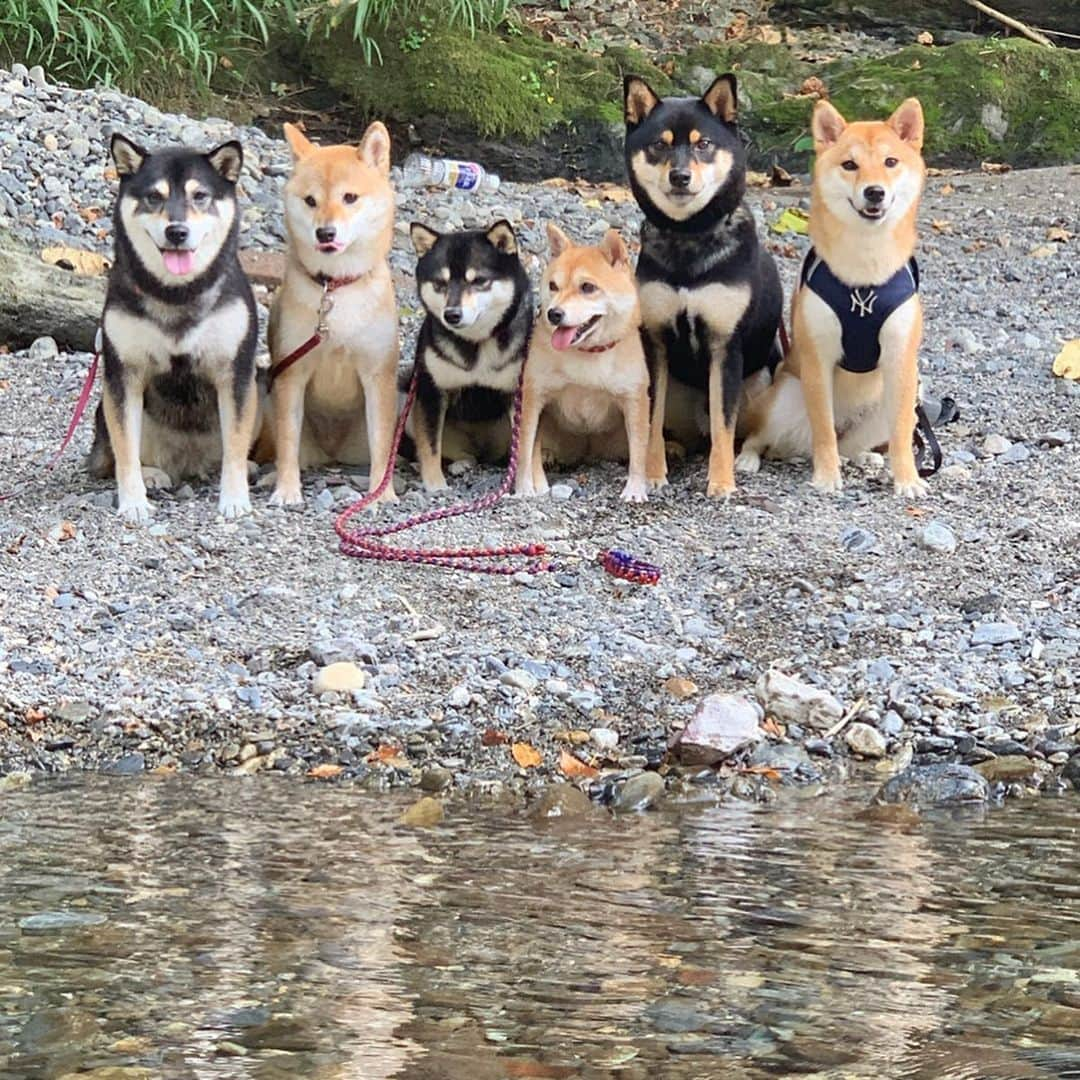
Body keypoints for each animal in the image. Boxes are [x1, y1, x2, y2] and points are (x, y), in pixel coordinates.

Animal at [263, 123, 399, 505]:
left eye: (350, 197)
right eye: (310, 201)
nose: (325, 232)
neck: (336, 287)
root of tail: (332, 454)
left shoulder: (378, 377)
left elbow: (382, 443)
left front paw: (381, 493)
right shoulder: (291, 375)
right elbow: (287, 442)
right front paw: (286, 490)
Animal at [406, 219, 531, 490]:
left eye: (479, 281)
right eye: (440, 284)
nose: (452, 314)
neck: (477, 344)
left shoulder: (519, 391)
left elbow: (525, 445)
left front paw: (526, 485)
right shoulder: (431, 391)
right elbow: (430, 444)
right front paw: (434, 484)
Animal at [514, 226, 648, 501]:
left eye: (587, 287)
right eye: (553, 286)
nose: (554, 314)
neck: (586, 353)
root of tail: (588, 451)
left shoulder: (634, 400)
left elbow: (639, 450)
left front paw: (635, 489)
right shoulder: (533, 398)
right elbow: (524, 450)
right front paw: (524, 489)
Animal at [626, 73, 786, 494]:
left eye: (704, 144)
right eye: (659, 145)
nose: (680, 176)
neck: (689, 237)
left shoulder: (724, 346)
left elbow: (723, 425)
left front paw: (721, 483)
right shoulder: (657, 344)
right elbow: (651, 418)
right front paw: (653, 473)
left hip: (765, 379)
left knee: (746, 432)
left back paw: (745, 459)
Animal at [738, 99, 933, 494]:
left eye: (891, 162)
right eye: (850, 165)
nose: (874, 192)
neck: (863, 278)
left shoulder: (901, 361)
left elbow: (902, 436)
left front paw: (907, 479)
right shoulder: (818, 358)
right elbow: (824, 431)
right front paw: (827, 478)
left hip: (890, 403)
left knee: (853, 443)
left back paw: (866, 458)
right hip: (784, 397)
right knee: (764, 436)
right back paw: (748, 459)